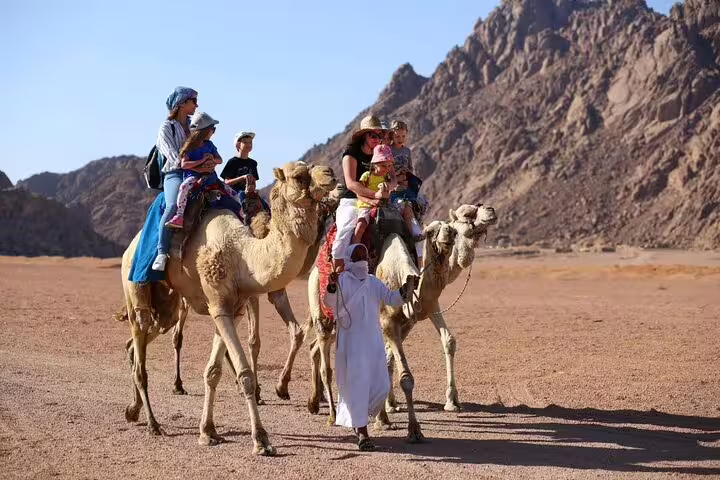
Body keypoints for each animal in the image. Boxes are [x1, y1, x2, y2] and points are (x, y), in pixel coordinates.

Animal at [120, 162, 336, 456]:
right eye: (298, 176)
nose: (331, 174)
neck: (242, 254)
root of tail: (129, 248)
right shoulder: (219, 305)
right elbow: (244, 373)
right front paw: (261, 439)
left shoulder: (232, 309)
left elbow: (213, 371)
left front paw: (208, 431)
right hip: (135, 287)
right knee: (140, 341)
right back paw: (153, 424)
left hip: (168, 307)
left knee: (137, 343)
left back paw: (133, 410)